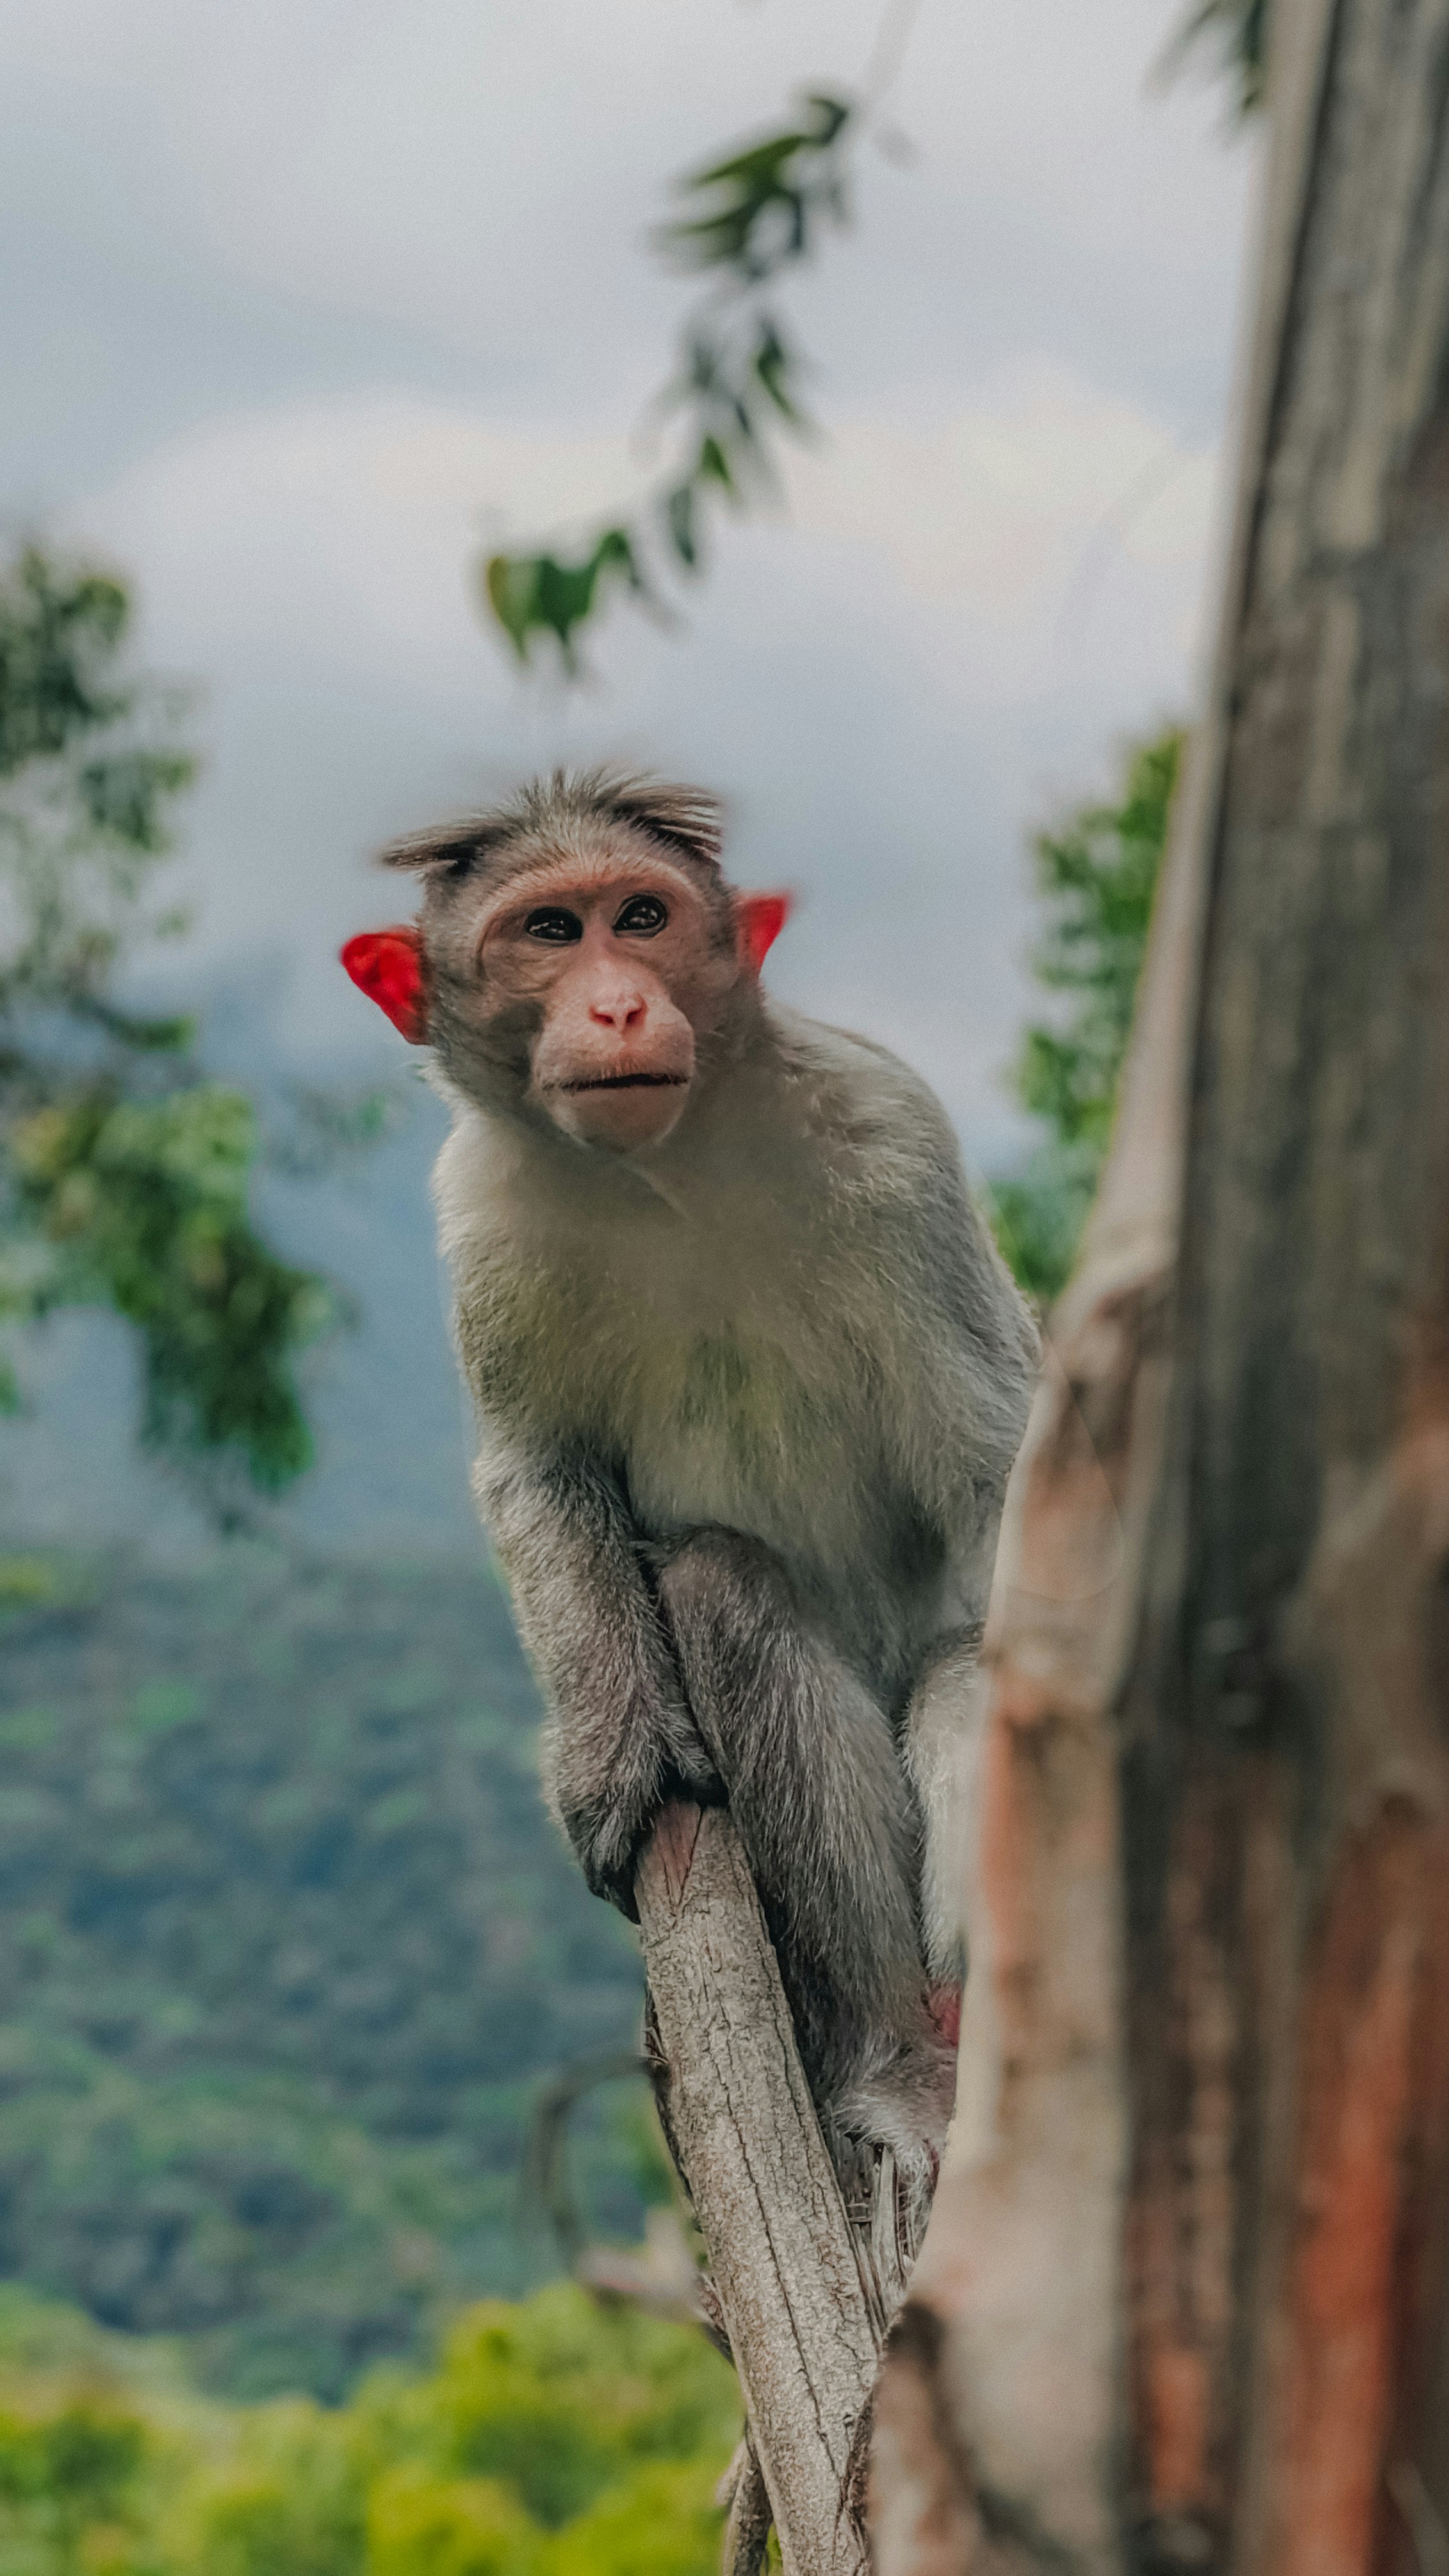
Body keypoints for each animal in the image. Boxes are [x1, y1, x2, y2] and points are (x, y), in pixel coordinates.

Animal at [341, 769, 1037, 2177]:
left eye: (644, 917)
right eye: (550, 930)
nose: (615, 1002)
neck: (671, 1167)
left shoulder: (893, 1138)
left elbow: (995, 1466)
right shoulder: (487, 1218)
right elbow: (541, 1471)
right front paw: (620, 1756)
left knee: (952, 1666)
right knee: (722, 1585)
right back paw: (890, 2044)